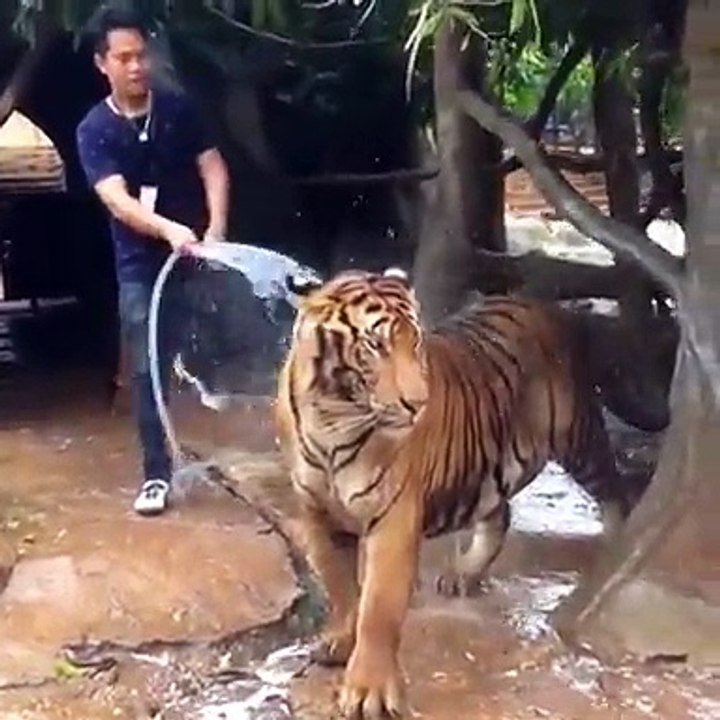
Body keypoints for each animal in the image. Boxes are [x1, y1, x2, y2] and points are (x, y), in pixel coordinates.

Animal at [274, 267, 633, 720]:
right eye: (376, 345)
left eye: (415, 342)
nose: (418, 403)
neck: (333, 417)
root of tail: (533, 301)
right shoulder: (317, 512)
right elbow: (340, 587)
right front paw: (340, 641)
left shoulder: (392, 517)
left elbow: (378, 608)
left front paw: (370, 691)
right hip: (490, 466)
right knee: (500, 514)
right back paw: (465, 573)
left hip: (577, 437)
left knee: (615, 491)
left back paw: (617, 545)